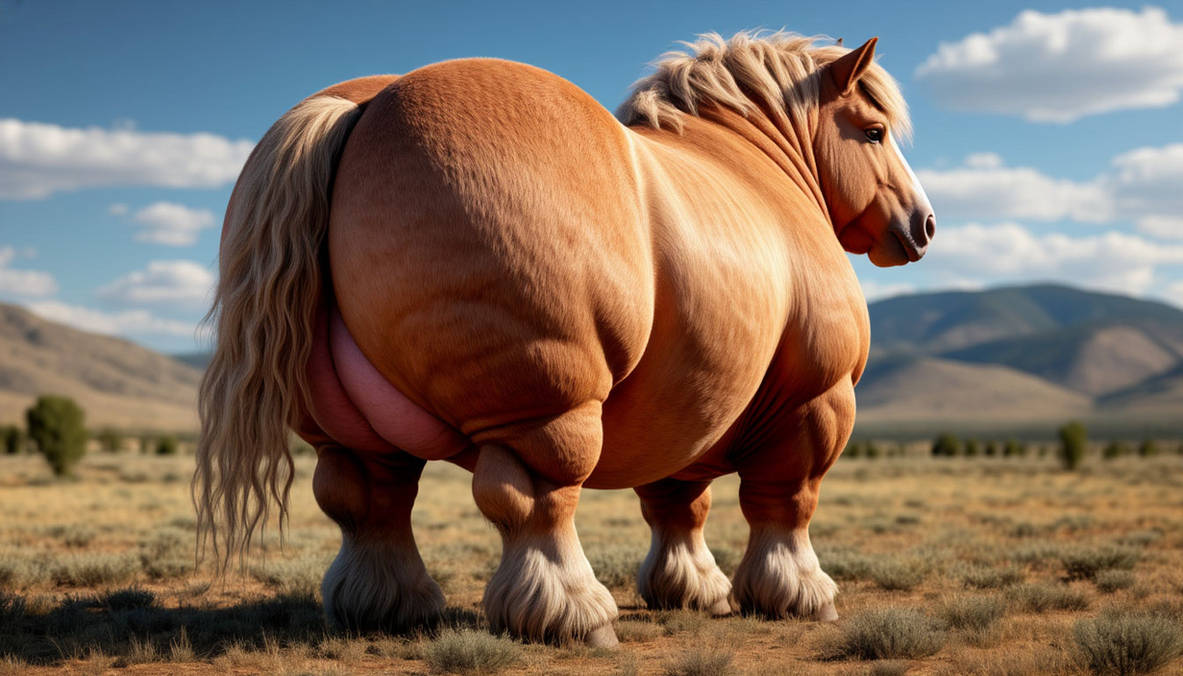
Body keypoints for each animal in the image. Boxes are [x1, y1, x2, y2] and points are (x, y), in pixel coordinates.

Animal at [195, 31, 934, 648]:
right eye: (873, 132)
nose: (922, 225)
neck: (765, 169)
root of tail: (359, 105)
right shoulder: (816, 398)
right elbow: (786, 502)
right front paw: (801, 596)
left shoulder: (686, 401)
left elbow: (680, 502)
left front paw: (691, 590)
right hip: (548, 399)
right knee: (536, 497)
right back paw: (576, 615)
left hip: (350, 430)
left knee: (369, 498)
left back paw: (387, 609)